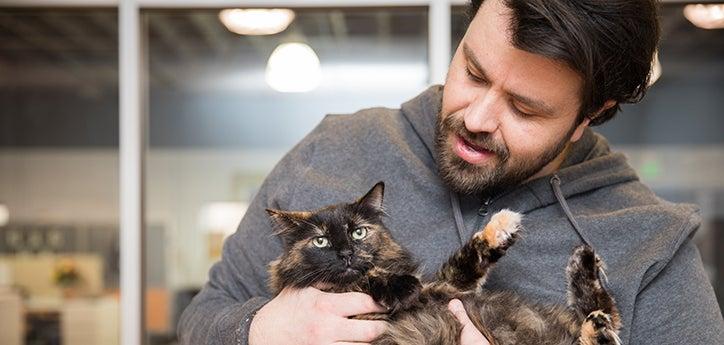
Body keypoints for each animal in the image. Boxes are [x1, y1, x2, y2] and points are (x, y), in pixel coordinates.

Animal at [268, 181, 624, 342]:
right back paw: (598, 326)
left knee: (606, 310)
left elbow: (469, 257)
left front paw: (500, 228)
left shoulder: (450, 287)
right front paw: (395, 285)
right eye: (321, 241)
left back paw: (586, 267)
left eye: (358, 232)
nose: (346, 254)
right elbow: (371, 276)